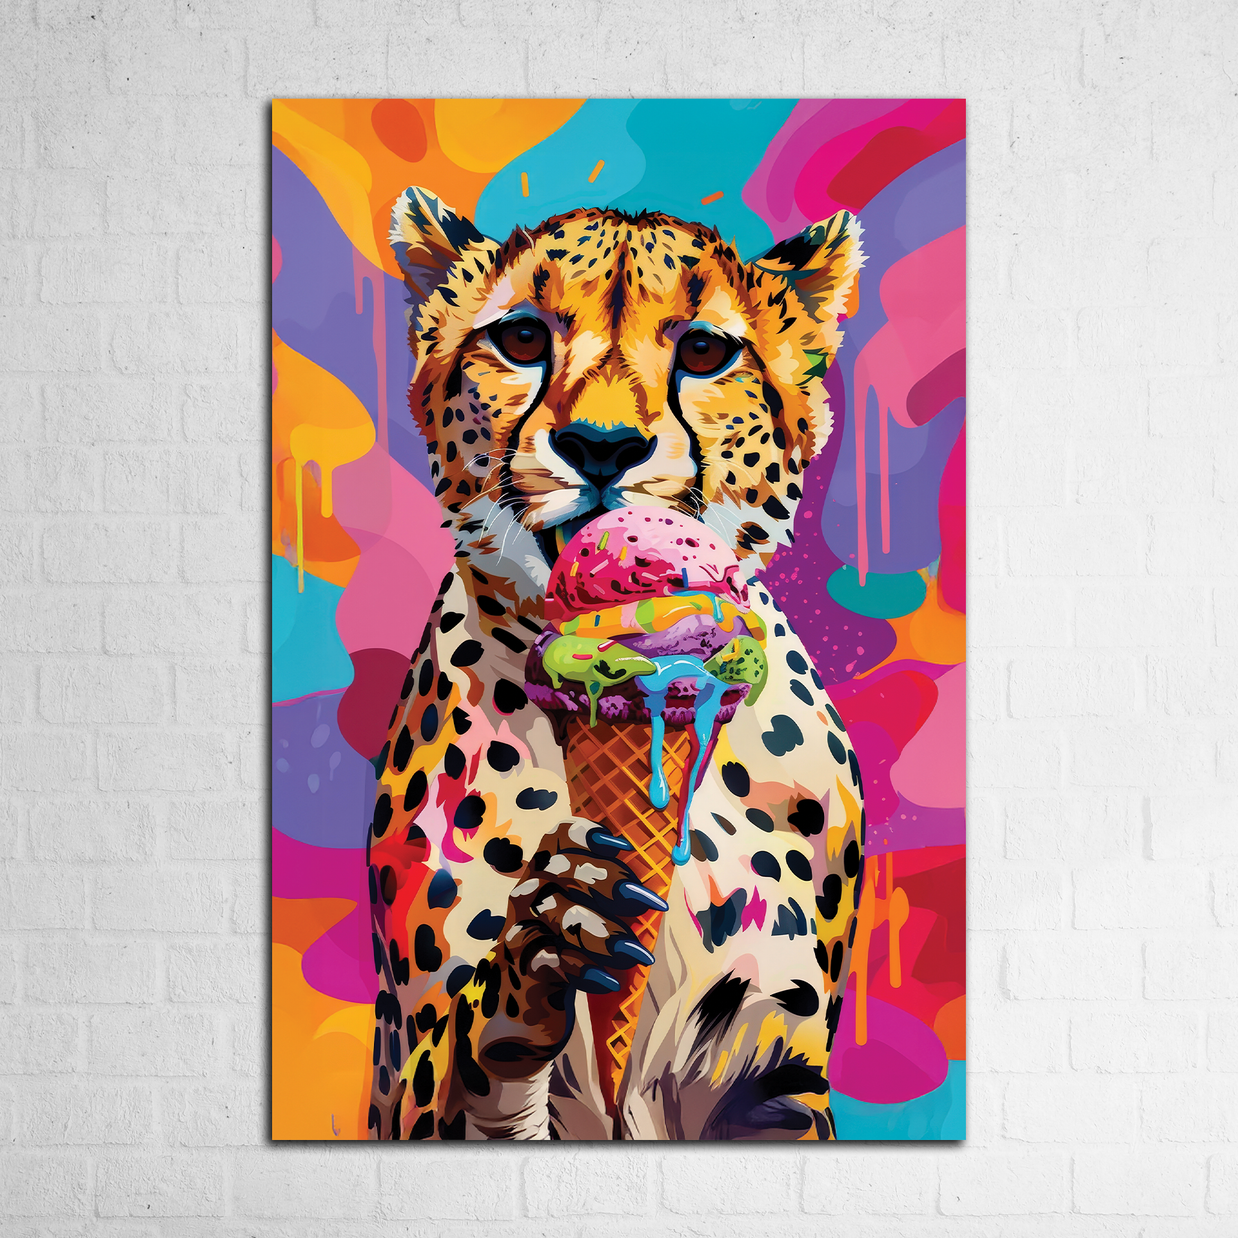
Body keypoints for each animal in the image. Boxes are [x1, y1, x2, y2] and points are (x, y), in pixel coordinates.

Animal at [362, 185, 867, 1141]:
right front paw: (553, 936)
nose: (600, 446)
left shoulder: (774, 1084)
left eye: (704, 351)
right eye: (523, 338)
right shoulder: (411, 1079)